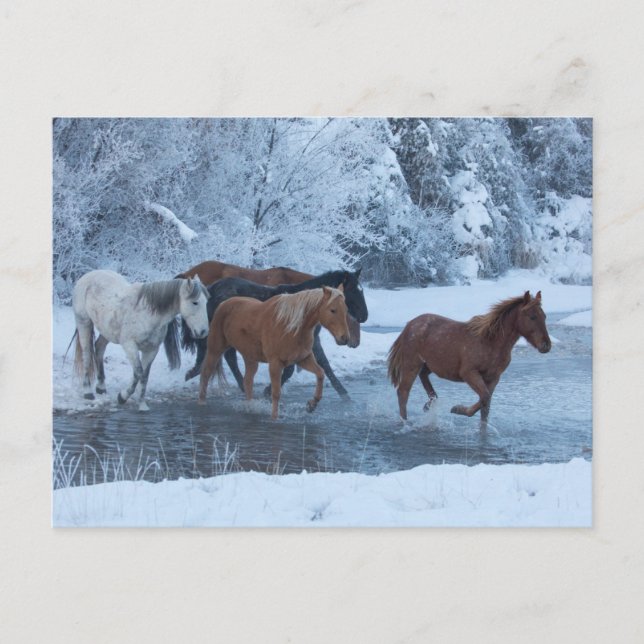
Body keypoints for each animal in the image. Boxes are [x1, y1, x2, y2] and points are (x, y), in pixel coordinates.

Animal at [71, 270, 209, 411]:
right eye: (195, 302)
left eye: (206, 302)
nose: (203, 331)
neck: (148, 314)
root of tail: (88, 275)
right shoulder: (130, 346)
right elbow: (138, 373)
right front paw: (122, 397)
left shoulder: (151, 350)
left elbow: (144, 376)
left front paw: (142, 405)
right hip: (84, 322)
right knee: (87, 354)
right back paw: (87, 391)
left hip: (106, 330)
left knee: (99, 348)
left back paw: (101, 387)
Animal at [180, 269, 368, 399]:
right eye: (352, 290)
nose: (364, 316)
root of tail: (212, 289)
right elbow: (291, 369)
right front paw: (268, 391)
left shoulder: (313, 342)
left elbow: (325, 365)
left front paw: (345, 395)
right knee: (228, 357)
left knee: (226, 356)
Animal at [198, 286, 349, 419]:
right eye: (333, 310)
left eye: (345, 310)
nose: (345, 338)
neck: (291, 327)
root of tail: (223, 303)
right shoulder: (275, 363)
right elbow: (276, 393)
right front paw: (274, 417)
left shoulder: (303, 359)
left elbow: (320, 374)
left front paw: (311, 405)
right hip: (215, 350)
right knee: (206, 373)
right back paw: (202, 402)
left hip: (250, 357)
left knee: (247, 381)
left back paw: (250, 406)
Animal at [387, 291, 551, 430]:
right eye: (532, 316)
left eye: (544, 316)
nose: (546, 345)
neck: (492, 342)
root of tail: (409, 325)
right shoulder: (469, 373)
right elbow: (484, 397)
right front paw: (457, 409)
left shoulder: (493, 378)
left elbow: (486, 406)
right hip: (412, 364)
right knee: (403, 392)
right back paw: (405, 422)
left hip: (429, 365)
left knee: (423, 377)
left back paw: (430, 403)